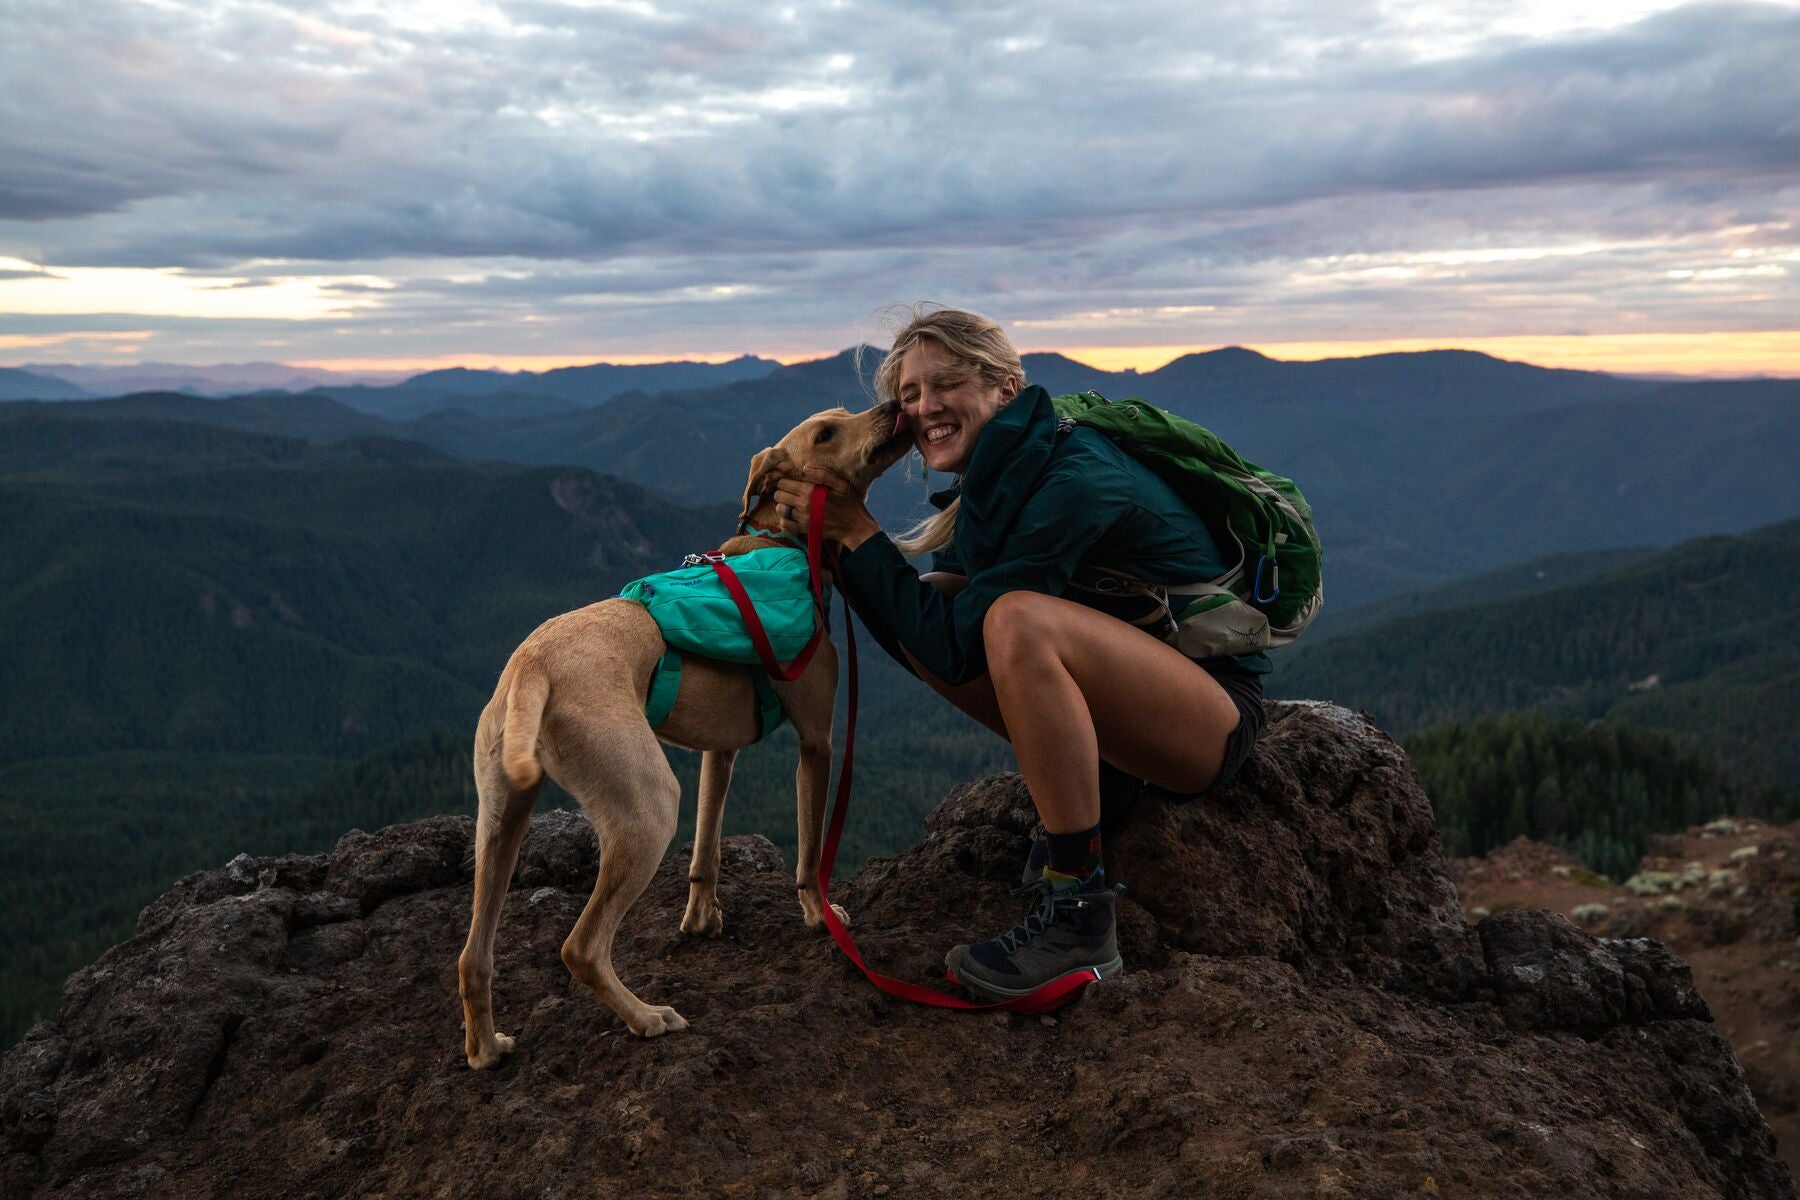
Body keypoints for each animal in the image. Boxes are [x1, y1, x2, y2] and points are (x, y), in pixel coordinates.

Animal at [457, 401, 907, 1072]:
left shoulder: (719, 751)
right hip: (648, 808)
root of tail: (532, 664)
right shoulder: (818, 741)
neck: (778, 544)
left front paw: (700, 918)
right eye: (827, 432)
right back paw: (647, 1018)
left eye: (848, 413)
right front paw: (818, 916)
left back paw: (487, 1049)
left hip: (500, 822)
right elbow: (808, 850)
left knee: (473, 957)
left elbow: (706, 847)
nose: (894, 406)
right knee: (580, 949)